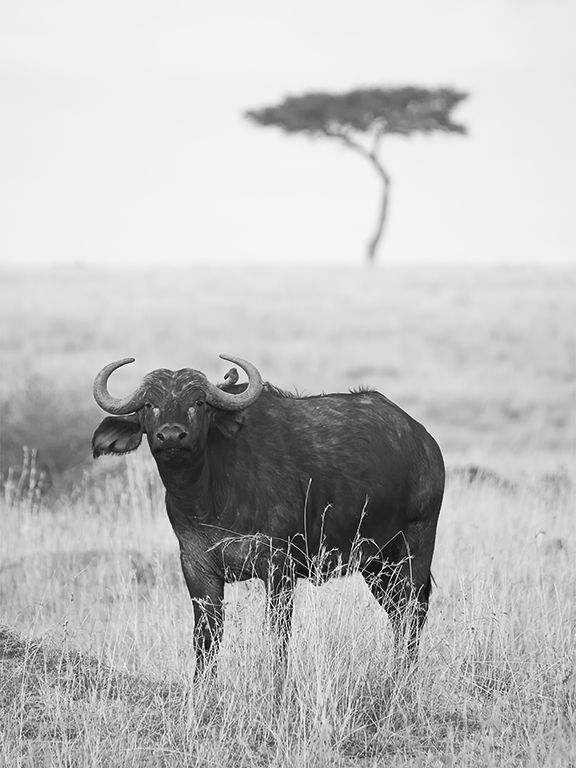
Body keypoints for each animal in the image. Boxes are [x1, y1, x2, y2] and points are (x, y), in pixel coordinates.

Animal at [92, 355, 444, 675]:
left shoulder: (279, 567)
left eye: (199, 403)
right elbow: (206, 637)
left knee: (413, 611)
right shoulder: (197, 567)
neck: (208, 498)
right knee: (397, 614)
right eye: (149, 404)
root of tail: (425, 441)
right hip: (376, 563)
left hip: (415, 545)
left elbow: (278, 637)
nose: (170, 436)